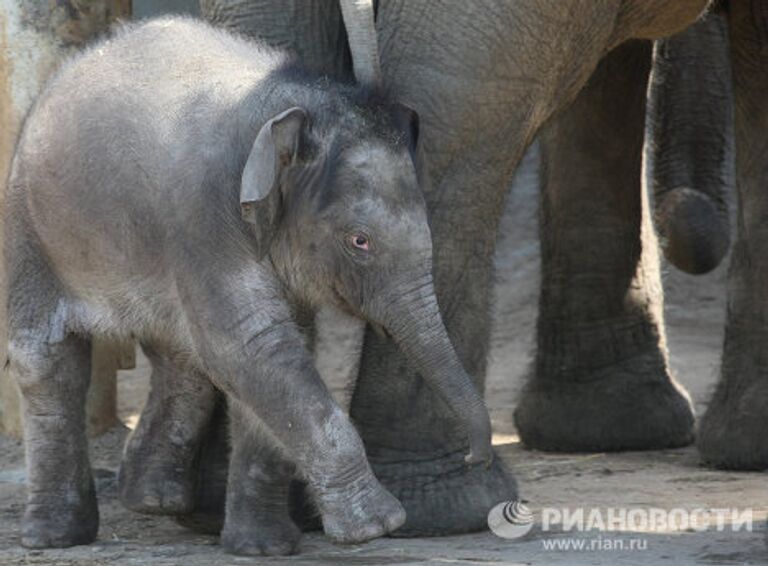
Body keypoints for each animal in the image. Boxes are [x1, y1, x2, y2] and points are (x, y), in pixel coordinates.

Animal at [6, 16, 492, 556]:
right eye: (359, 241)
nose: (475, 457)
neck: (290, 109)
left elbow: (263, 361)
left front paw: (264, 548)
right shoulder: (203, 217)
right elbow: (250, 348)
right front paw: (377, 526)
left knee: (182, 359)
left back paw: (153, 501)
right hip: (31, 231)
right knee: (47, 362)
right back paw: (53, 537)